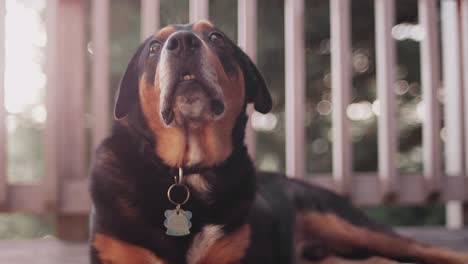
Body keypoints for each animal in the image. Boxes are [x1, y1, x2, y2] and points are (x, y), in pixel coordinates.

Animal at [89, 21, 468, 264]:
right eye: (154, 47)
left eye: (216, 37)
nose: (182, 42)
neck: (185, 173)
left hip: (343, 222)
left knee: (423, 250)